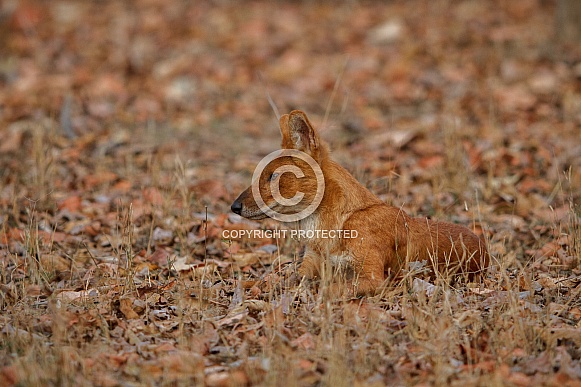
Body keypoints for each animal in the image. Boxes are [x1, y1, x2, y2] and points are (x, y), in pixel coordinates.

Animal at [229, 110, 488, 298]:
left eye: (273, 176)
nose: (234, 207)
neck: (334, 224)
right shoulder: (311, 263)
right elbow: (279, 280)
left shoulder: (373, 278)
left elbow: (326, 288)